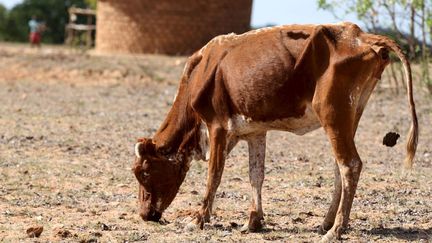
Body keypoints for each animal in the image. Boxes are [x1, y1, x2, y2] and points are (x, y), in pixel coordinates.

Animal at [132, 22, 418, 241]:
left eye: (143, 172)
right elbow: (255, 175)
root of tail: (360, 35)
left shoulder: (217, 126)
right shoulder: (254, 132)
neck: (203, 70)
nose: (145, 214)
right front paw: (253, 220)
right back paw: (327, 223)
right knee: (340, 168)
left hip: (332, 113)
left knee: (350, 165)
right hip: (351, 114)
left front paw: (198, 219)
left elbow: (214, 175)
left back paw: (336, 229)